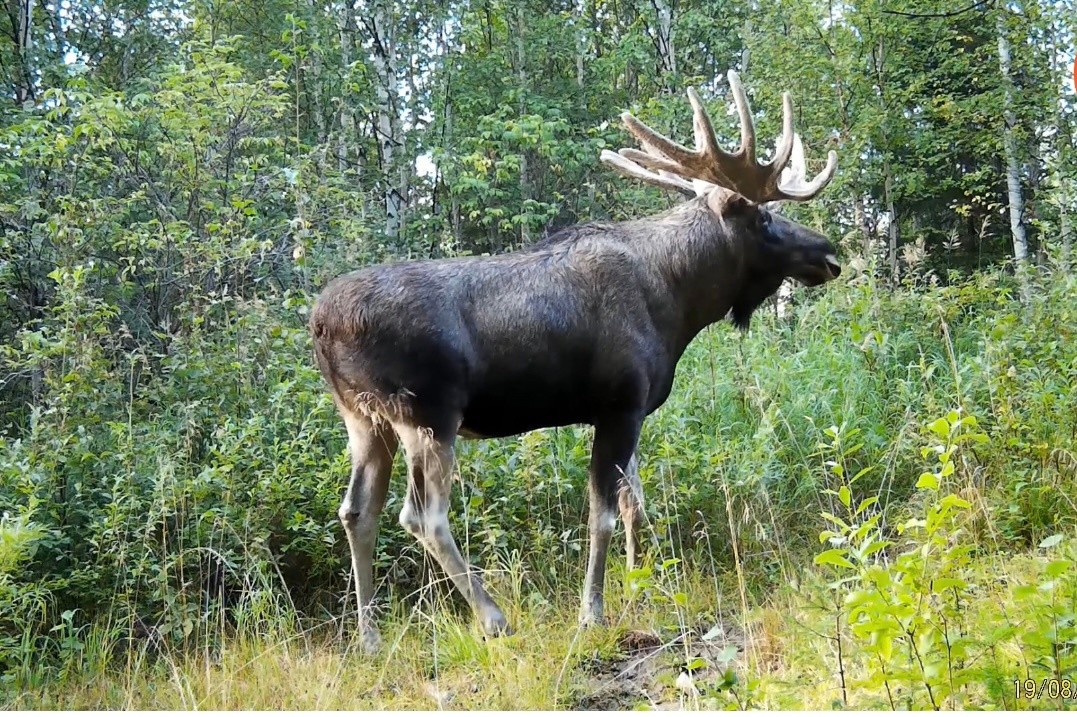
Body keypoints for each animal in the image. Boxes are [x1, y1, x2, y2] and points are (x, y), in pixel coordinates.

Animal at [312, 71, 840, 645]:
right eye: (765, 217)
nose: (829, 252)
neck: (679, 301)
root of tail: (319, 324)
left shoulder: (631, 409)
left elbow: (634, 504)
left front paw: (640, 586)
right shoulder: (619, 402)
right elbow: (602, 515)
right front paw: (593, 612)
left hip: (363, 419)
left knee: (357, 511)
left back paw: (369, 637)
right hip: (427, 413)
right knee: (422, 516)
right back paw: (493, 618)